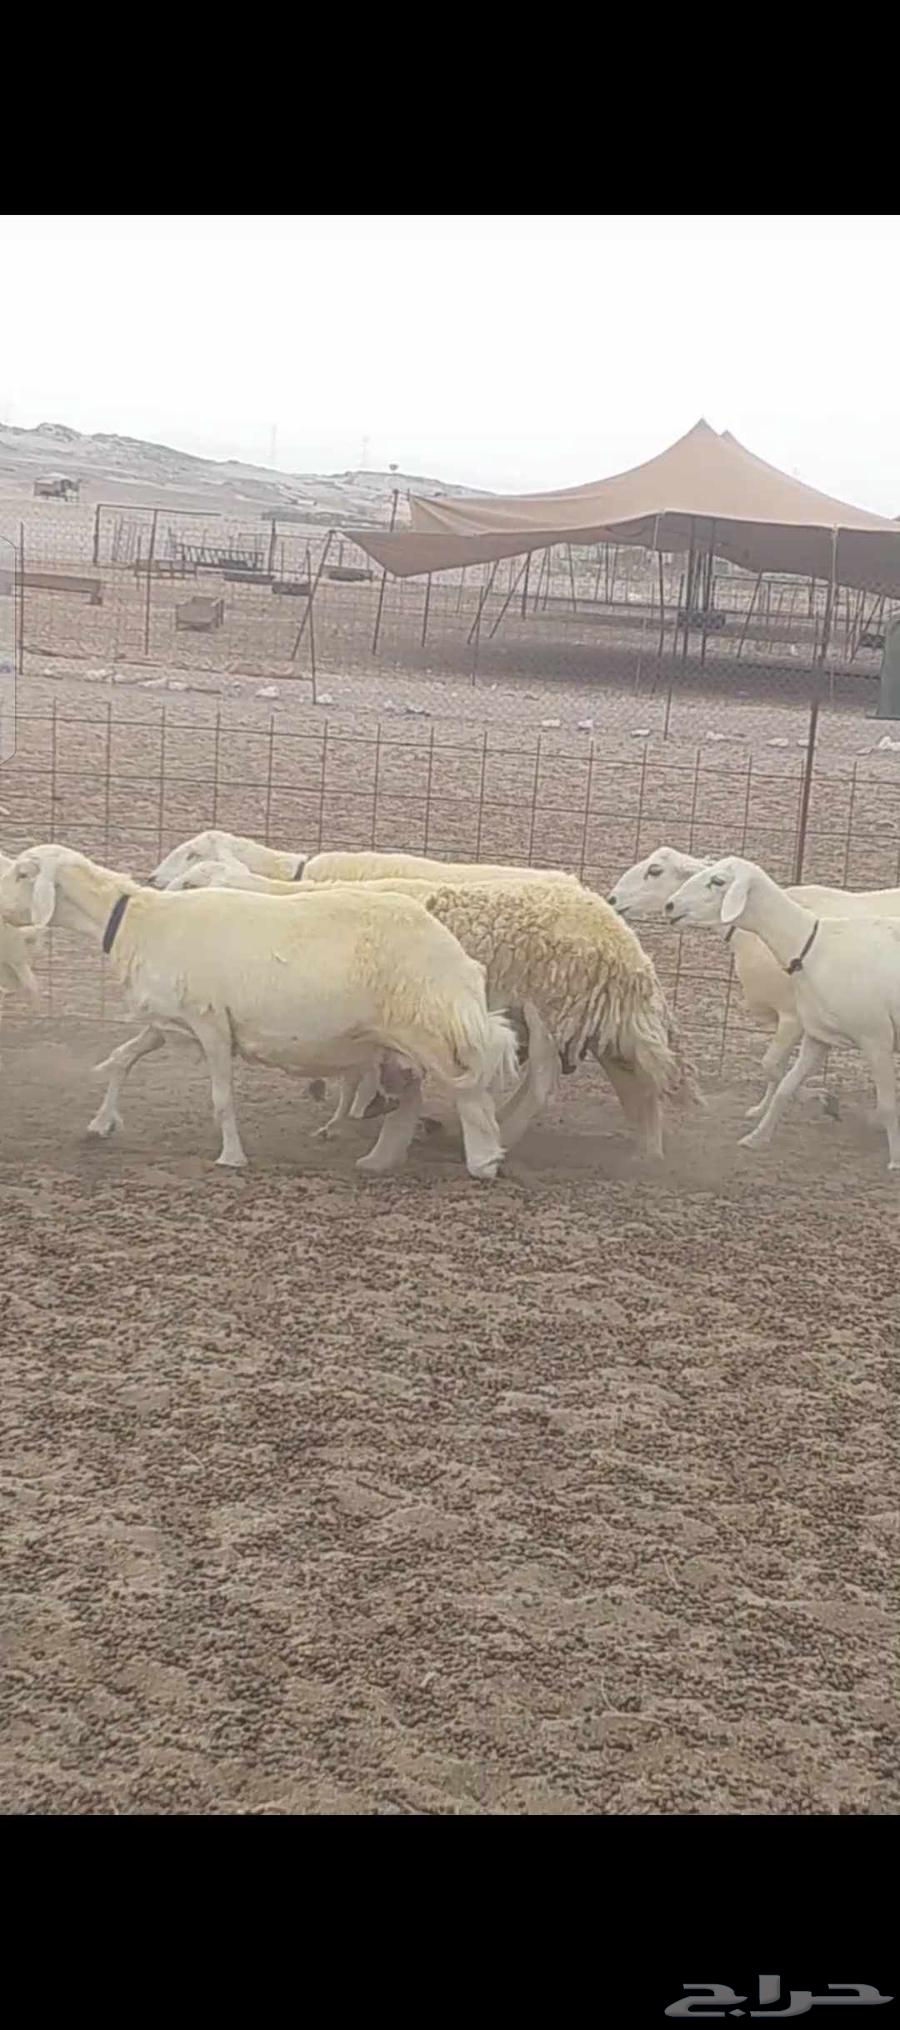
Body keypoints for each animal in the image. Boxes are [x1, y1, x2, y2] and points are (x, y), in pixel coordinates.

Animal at [0, 845, 518, 1178]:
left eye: (23, 872)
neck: (139, 921)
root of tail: (458, 958)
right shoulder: (172, 1021)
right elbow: (122, 1059)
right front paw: (100, 1124)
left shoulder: (211, 1022)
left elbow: (221, 1098)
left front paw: (231, 1156)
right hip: (401, 1035)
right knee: (414, 1093)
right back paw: (381, 1158)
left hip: (428, 1027)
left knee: (470, 1092)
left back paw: (484, 1161)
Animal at [609, 843, 900, 1121]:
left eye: (655, 871)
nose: (611, 899)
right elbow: (776, 1067)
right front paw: (762, 1110)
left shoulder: (793, 1016)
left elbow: (772, 1065)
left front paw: (820, 1099)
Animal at [665, 854, 900, 1170]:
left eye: (718, 881)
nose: (670, 906)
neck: (814, 947)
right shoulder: (818, 1035)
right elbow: (786, 1086)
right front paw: (757, 1137)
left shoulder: (876, 1038)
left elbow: (888, 1106)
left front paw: (896, 1161)